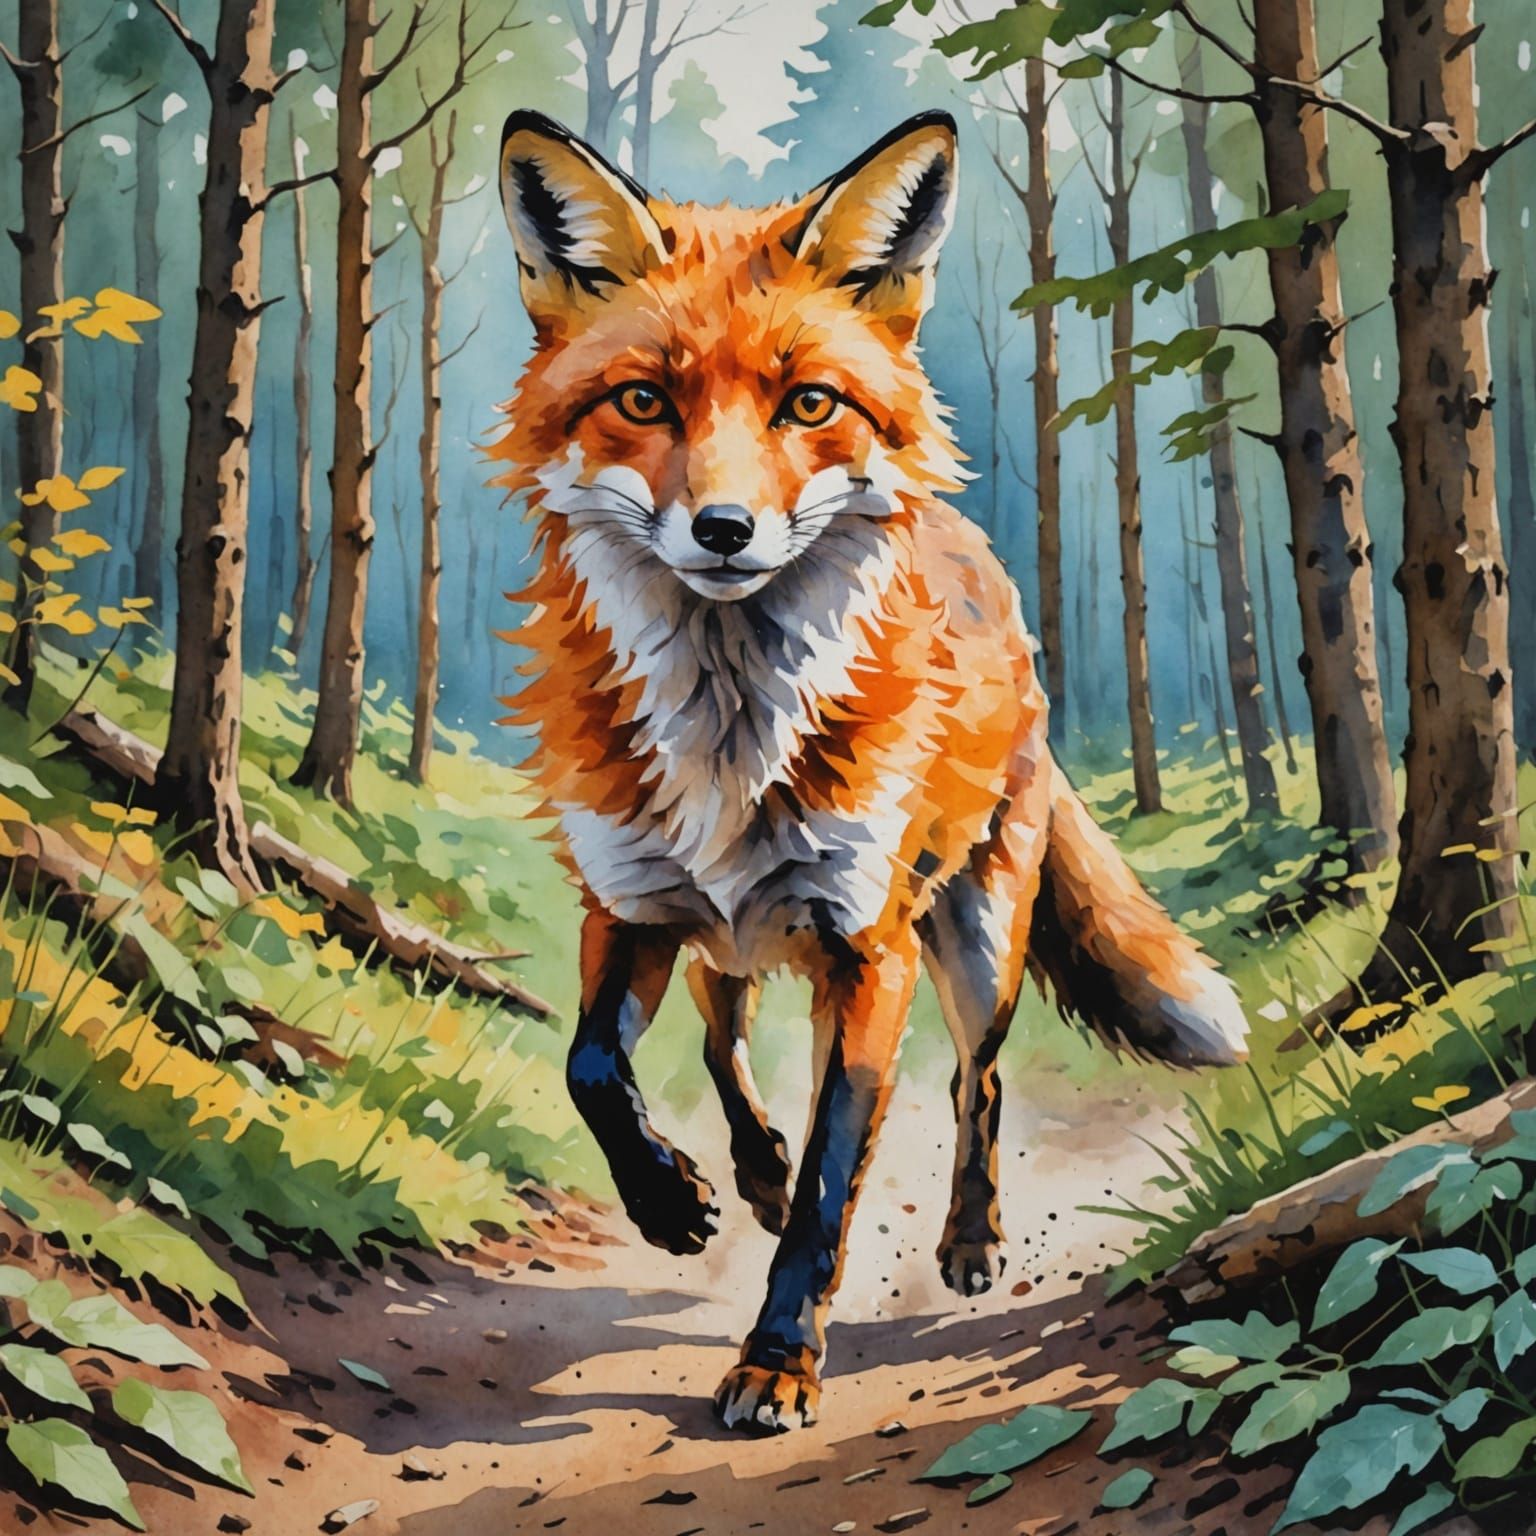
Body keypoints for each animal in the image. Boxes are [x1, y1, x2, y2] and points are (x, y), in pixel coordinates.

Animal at [491, 108, 1248, 1434]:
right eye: (643, 400)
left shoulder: (867, 949)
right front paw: (669, 1200)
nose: (724, 531)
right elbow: (593, 1070)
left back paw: (970, 1242)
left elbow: (832, 1190)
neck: (731, 737)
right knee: (722, 1048)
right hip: (722, 946)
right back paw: (740, 1171)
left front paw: (779, 1360)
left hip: (978, 944)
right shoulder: (626, 907)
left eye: (807, 404)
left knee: (975, 1089)